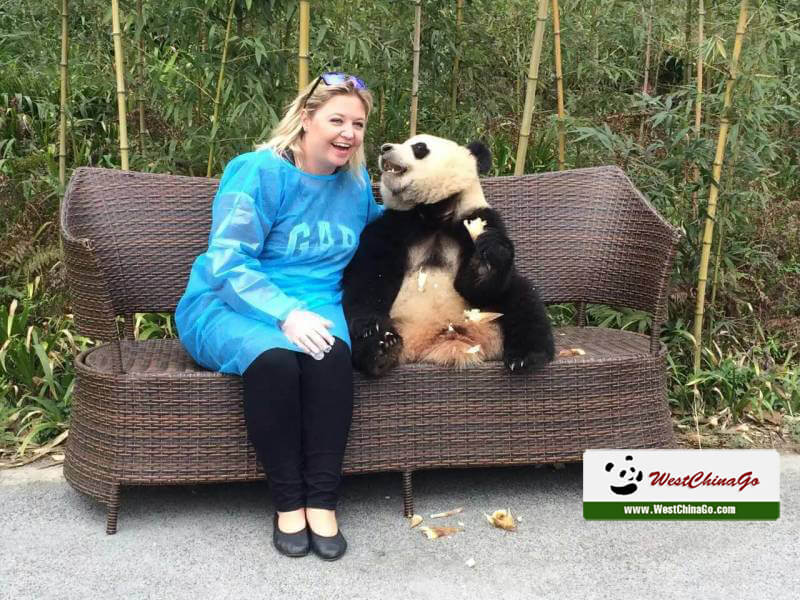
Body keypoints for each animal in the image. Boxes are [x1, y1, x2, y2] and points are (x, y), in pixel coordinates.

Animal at [344, 134, 556, 378]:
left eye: (419, 147)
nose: (385, 148)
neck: (435, 212)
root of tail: (437, 339)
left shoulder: (479, 218)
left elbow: (475, 286)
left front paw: (487, 258)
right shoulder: (393, 225)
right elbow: (371, 275)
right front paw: (373, 329)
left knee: (521, 297)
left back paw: (526, 357)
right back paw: (382, 348)